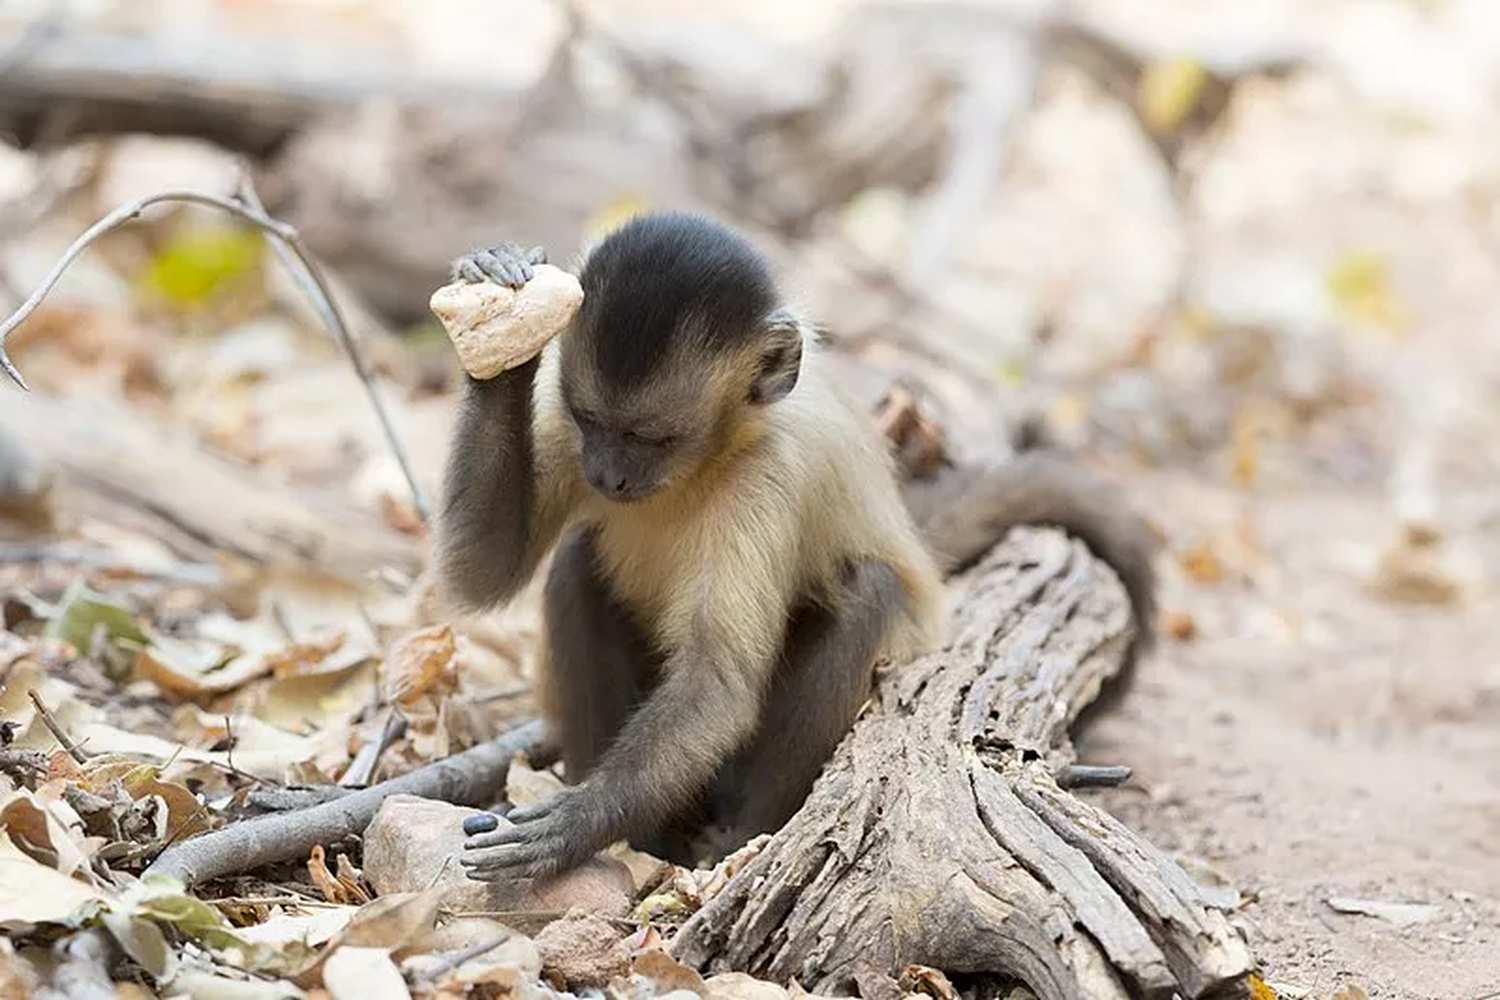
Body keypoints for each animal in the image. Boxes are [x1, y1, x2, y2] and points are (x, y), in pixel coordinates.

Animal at [437, 212, 1156, 881]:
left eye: (652, 438)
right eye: (593, 422)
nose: (606, 476)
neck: (711, 459)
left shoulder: (767, 478)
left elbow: (717, 686)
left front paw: (575, 824)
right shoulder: (566, 432)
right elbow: (484, 572)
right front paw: (501, 319)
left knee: (869, 590)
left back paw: (736, 837)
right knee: (578, 564)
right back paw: (648, 839)